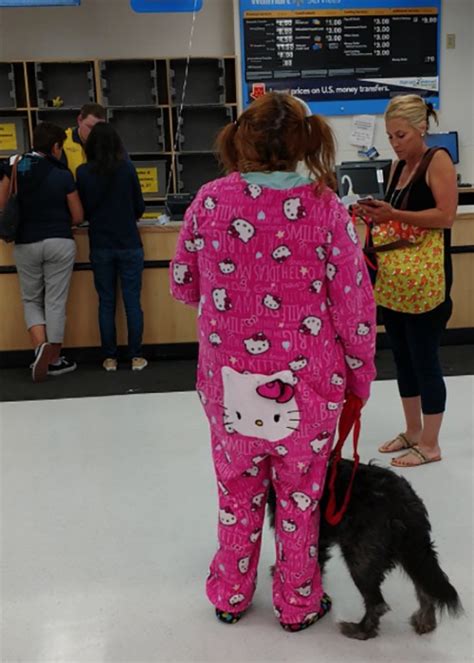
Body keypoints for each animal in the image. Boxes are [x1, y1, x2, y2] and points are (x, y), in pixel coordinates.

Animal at [268, 460, 462, 640]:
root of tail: (405, 505)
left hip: (360, 557)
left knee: (377, 604)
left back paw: (361, 630)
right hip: (412, 552)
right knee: (424, 586)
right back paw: (426, 621)